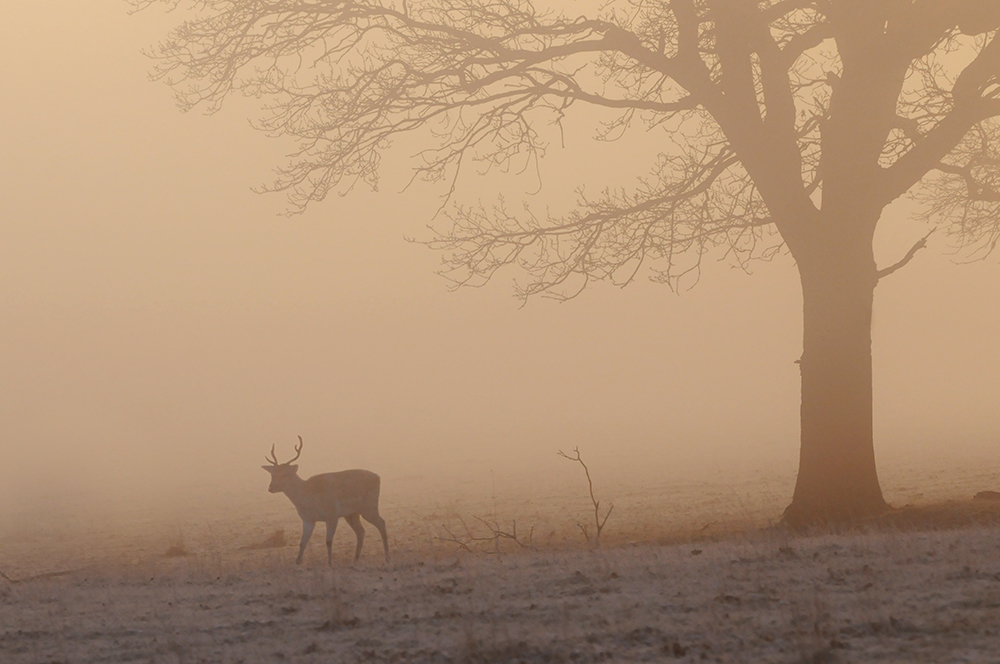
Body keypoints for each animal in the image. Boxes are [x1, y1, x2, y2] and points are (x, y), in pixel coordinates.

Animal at [261, 436, 389, 565]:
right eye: (272, 474)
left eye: (285, 474)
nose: (270, 488)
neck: (308, 499)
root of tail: (378, 477)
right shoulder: (307, 519)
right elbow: (302, 542)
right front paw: (297, 562)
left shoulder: (332, 515)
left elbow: (328, 541)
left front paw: (330, 563)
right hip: (352, 514)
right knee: (361, 531)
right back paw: (355, 560)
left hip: (369, 507)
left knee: (381, 523)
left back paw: (387, 558)